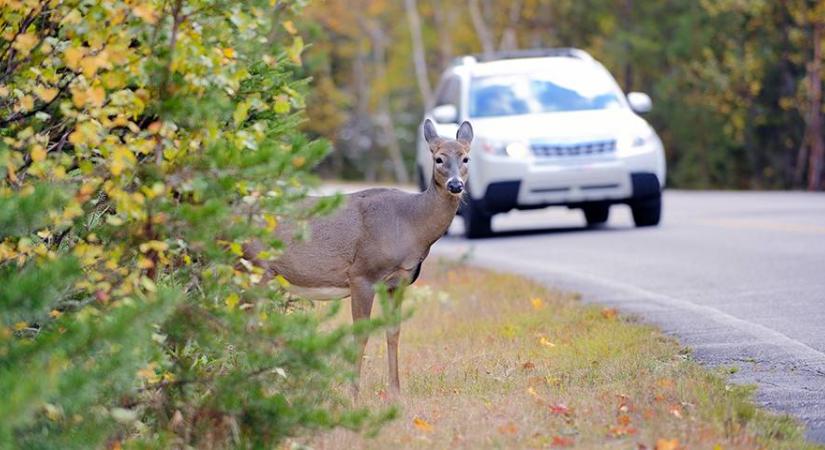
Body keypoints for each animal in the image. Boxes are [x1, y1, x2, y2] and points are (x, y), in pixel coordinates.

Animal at [245, 119, 474, 398]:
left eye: (466, 158)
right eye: (439, 158)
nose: (455, 185)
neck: (410, 223)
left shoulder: (398, 282)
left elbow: (393, 332)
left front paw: (395, 392)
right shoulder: (362, 274)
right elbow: (360, 335)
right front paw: (353, 394)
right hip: (255, 266)